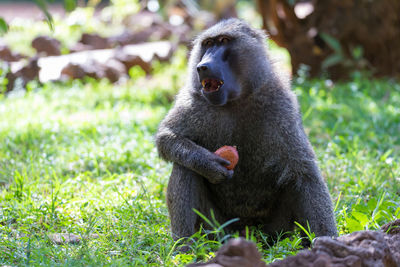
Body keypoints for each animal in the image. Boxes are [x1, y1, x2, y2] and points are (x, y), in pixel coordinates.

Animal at [155, 18, 336, 245]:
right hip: (217, 229)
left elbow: (303, 173)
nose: (202, 66)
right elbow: (167, 137)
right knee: (184, 167)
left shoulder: (281, 105)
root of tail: (247, 233)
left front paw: (328, 242)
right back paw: (184, 248)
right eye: (208, 44)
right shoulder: (194, 100)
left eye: (224, 41)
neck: (236, 101)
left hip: (275, 231)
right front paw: (208, 164)